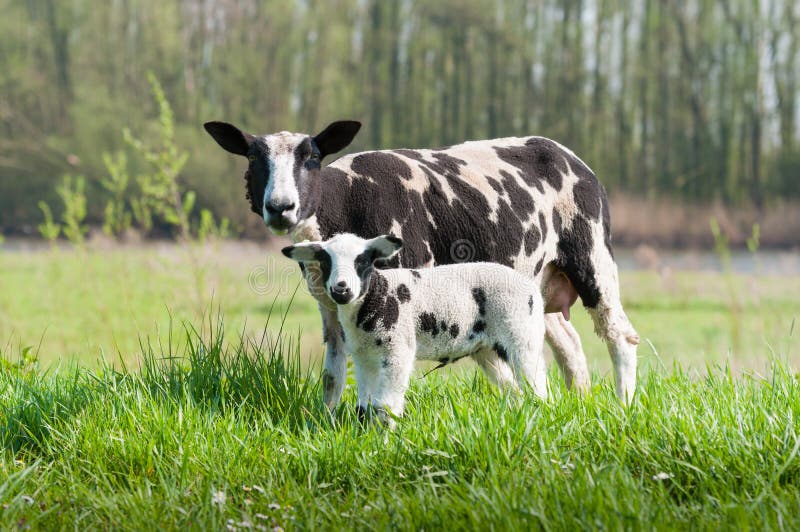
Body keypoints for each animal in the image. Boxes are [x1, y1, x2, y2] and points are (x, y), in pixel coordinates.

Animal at [280, 233, 544, 424]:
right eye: (325, 261)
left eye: (362, 261)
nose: (341, 289)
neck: (377, 295)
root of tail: (531, 287)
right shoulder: (363, 358)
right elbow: (364, 408)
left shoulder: (398, 350)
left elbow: (384, 407)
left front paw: (384, 443)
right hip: (486, 349)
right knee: (514, 391)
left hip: (522, 334)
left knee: (536, 386)